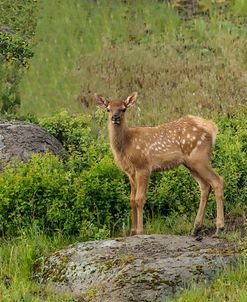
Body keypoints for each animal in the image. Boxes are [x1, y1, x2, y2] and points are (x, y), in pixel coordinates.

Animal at [95, 93, 224, 237]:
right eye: (108, 109)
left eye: (124, 109)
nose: (115, 117)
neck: (126, 145)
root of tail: (212, 127)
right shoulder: (130, 173)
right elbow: (131, 199)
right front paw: (132, 231)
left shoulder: (143, 166)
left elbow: (139, 199)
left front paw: (140, 231)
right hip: (191, 163)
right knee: (205, 186)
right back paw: (196, 229)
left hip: (199, 157)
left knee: (218, 181)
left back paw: (219, 228)